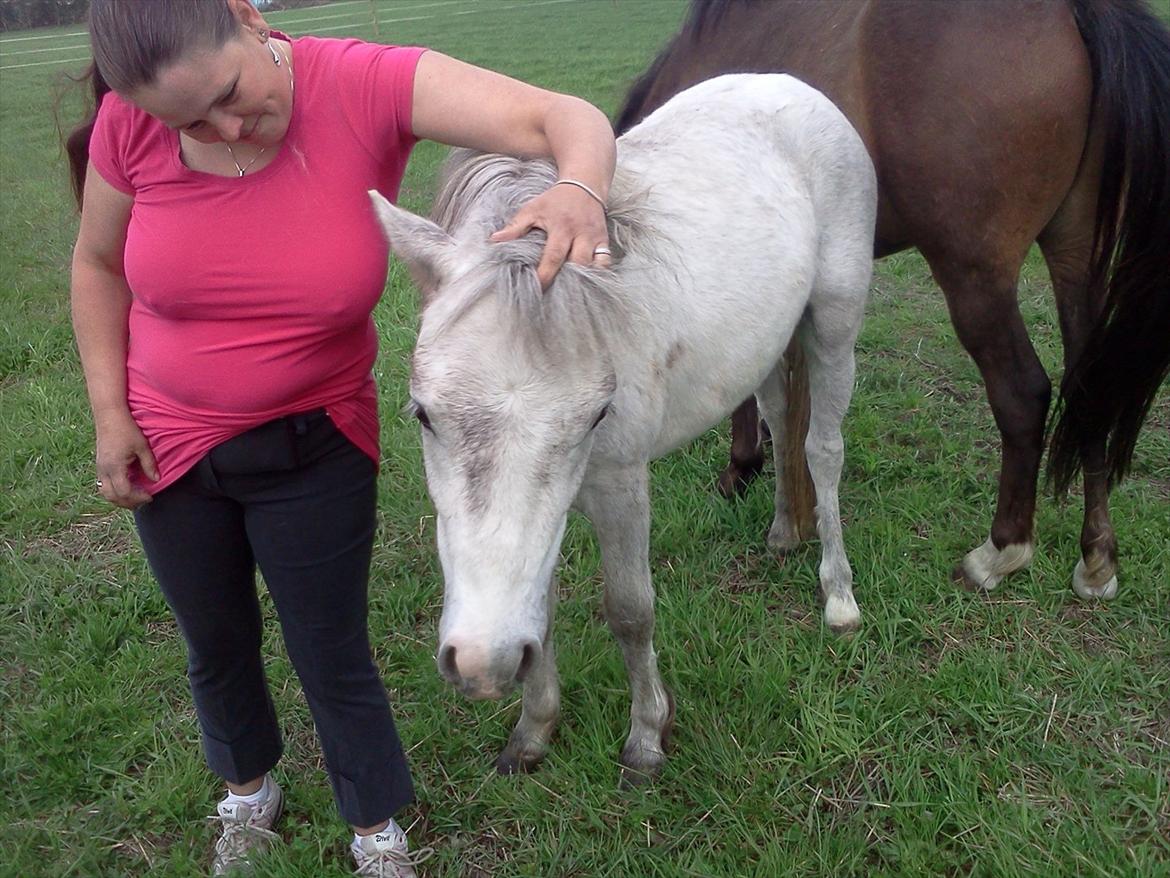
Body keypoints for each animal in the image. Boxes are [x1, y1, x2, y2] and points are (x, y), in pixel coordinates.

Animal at [371, 73, 876, 782]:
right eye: (423, 414)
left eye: (595, 416)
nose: (481, 663)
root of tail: (793, 87)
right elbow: (540, 609)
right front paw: (534, 731)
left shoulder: (620, 486)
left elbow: (632, 612)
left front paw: (646, 737)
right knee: (781, 421)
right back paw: (781, 533)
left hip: (833, 323)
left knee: (822, 450)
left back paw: (839, 598)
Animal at [615, 0, 1170, 599]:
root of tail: (1075, 12)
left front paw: (742, 468)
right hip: (1075, 251)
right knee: (1090, 389)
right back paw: (1097, 559)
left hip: (974, 275)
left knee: (1024, 393)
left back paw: (999, 553)